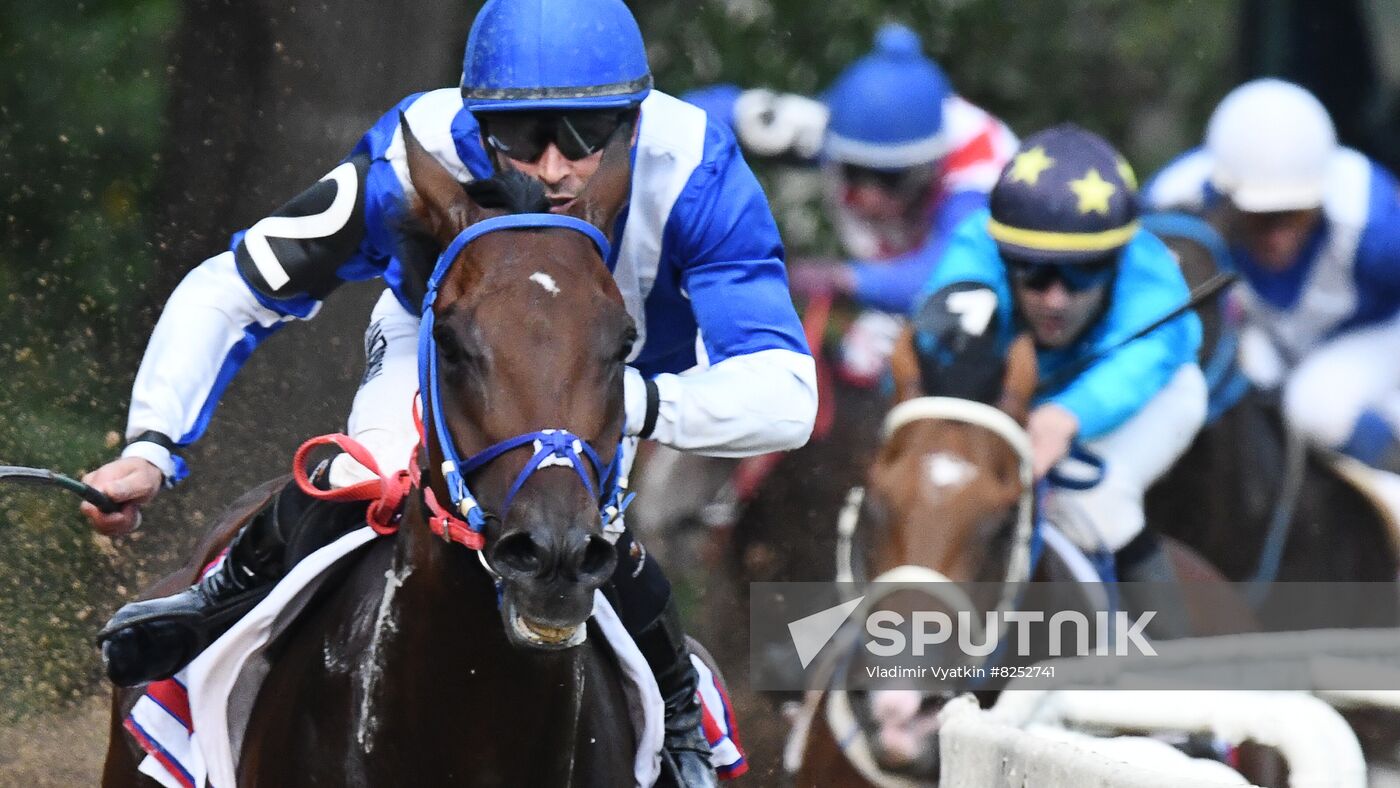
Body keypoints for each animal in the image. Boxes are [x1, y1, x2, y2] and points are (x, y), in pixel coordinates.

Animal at [106, 116, 641, 788]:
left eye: (625, 342)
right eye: (449, 339)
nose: (555, 554)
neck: (472, 728)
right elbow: (244, 280)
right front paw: (135, 471)